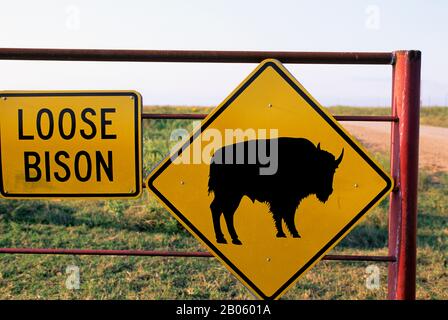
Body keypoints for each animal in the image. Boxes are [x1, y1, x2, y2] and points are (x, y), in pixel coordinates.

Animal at [207, 137, 344, 245]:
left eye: (333, 170)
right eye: (319, 168)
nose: (328, 191)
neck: (307, 161)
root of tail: (215, 158)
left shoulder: (289, 201)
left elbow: (284, 215)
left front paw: (287, 233)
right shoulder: (284, 200)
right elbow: (285, 215)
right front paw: (291, 233)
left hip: (234, 197)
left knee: (226, 212)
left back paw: (234, 239)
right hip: (228, 195)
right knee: (218, 210)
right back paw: (222, 239)